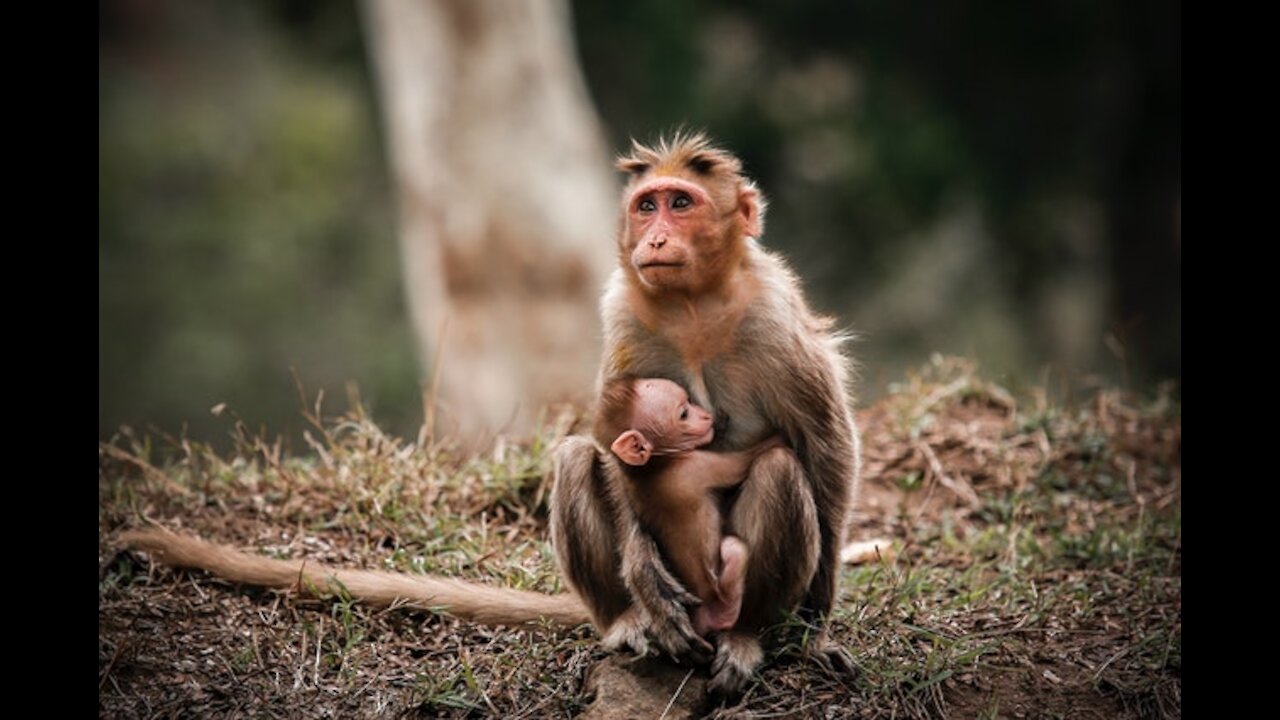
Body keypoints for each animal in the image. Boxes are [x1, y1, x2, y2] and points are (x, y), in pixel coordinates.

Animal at [593, 376, 783, 632]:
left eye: (690, 402)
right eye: (684, 413)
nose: (705, 416)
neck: (654, 464)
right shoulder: (697, 465)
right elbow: (745, 461)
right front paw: (779, 436)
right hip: (720, 595)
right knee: (735, 549)